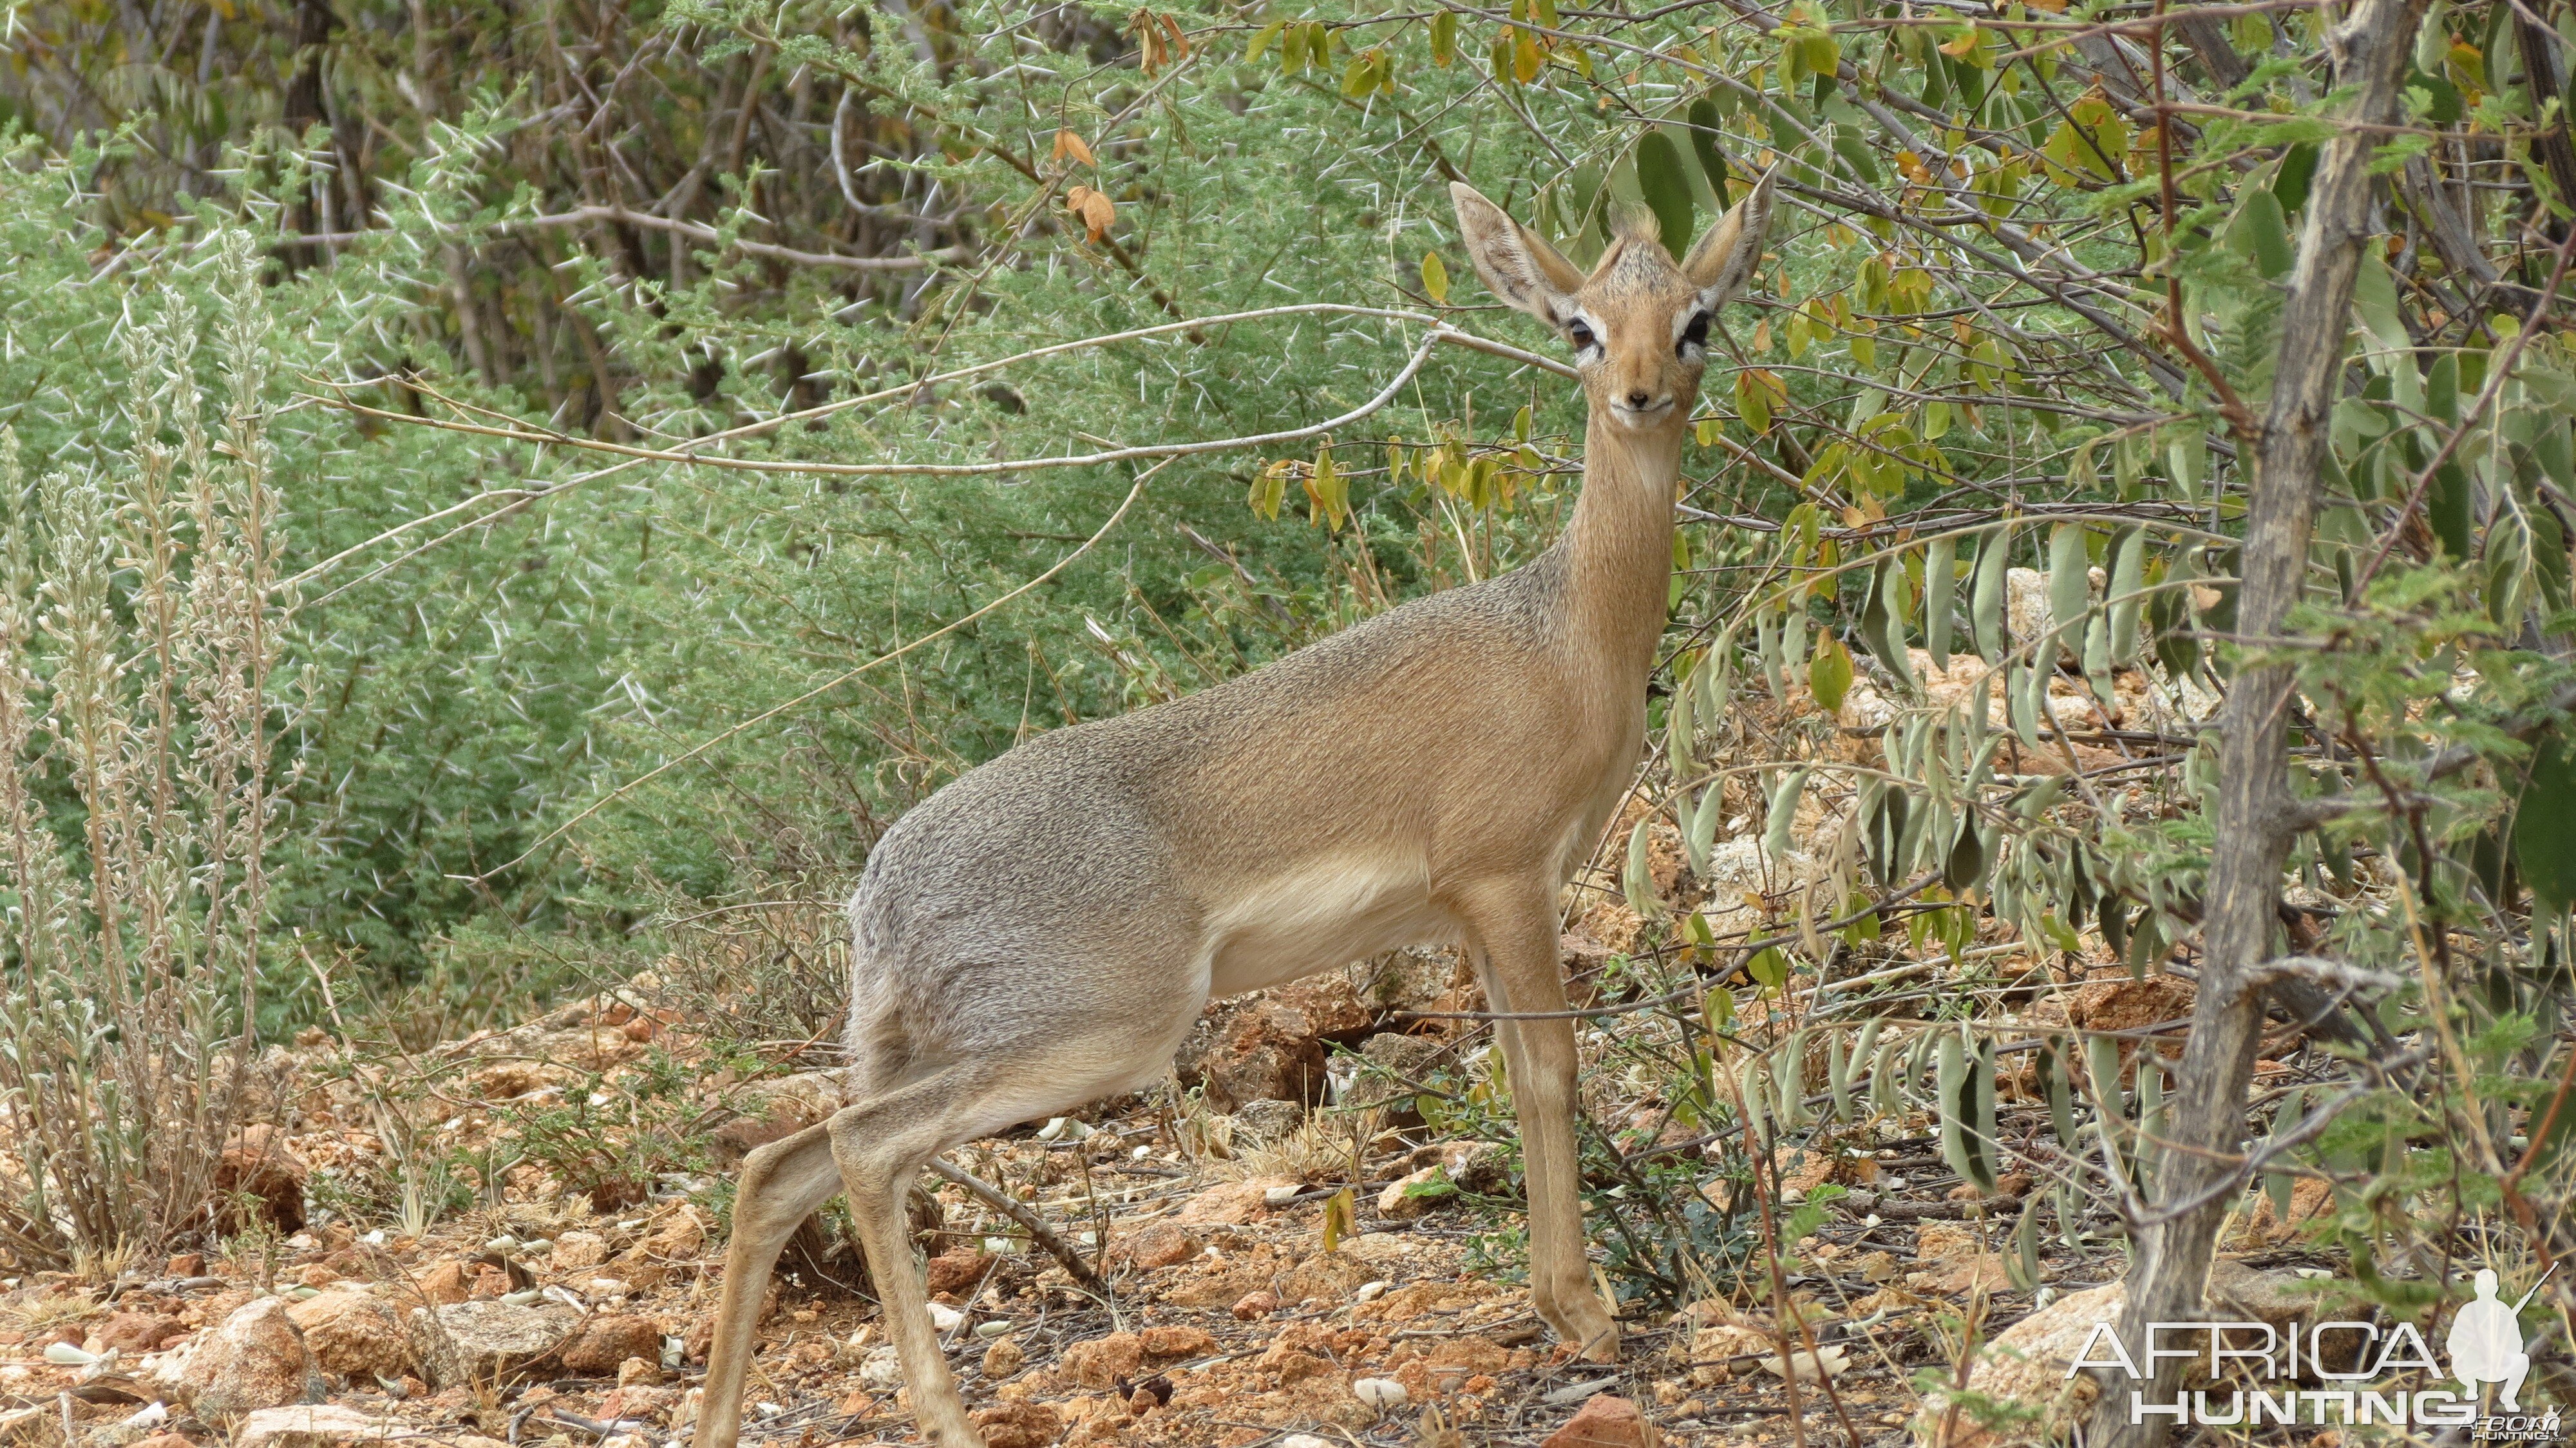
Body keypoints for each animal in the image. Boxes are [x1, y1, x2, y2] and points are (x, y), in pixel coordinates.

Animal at [696, 171, 1783, 1443]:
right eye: (1580, 327)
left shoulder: (1476, 913)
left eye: (1697, 316)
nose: (1640, 394)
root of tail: (879, 892)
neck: (1565, 636)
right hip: (1101, 1032)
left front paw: (1561, 1301)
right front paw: (1585, 1311)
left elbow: (1519, 1077)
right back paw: (946, 1417)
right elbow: (1554, 1072)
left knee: (777, 1164)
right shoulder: (1509, 880)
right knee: (861, 1149)